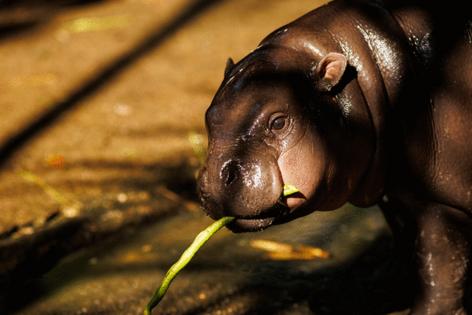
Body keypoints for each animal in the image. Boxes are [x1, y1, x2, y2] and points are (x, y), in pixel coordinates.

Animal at [196, 0, 472, 314]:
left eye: (278, 122)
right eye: (208, 116)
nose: (215, 179)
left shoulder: (437, 203)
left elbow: (439, 264)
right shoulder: (397, 193)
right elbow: (405, 244)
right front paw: (372, 287)